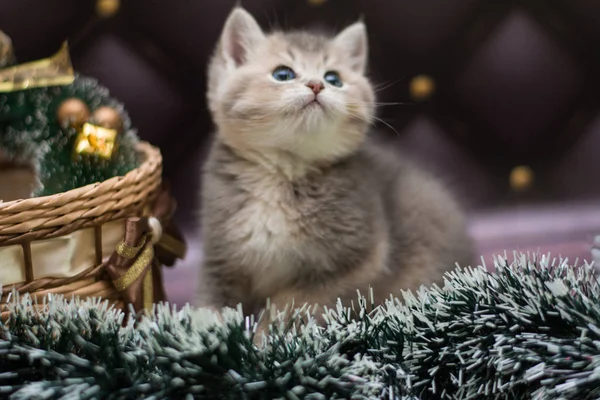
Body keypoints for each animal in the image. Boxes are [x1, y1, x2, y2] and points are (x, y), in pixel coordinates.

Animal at [197, 8, 474, 328]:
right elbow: (210, 306)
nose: (317, 85)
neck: (285, 170)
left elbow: (291, 300)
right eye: (283, 74)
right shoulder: (219, 256)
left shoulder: (363, 258)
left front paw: (266, 334)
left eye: (334, 78)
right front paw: (211, 335)